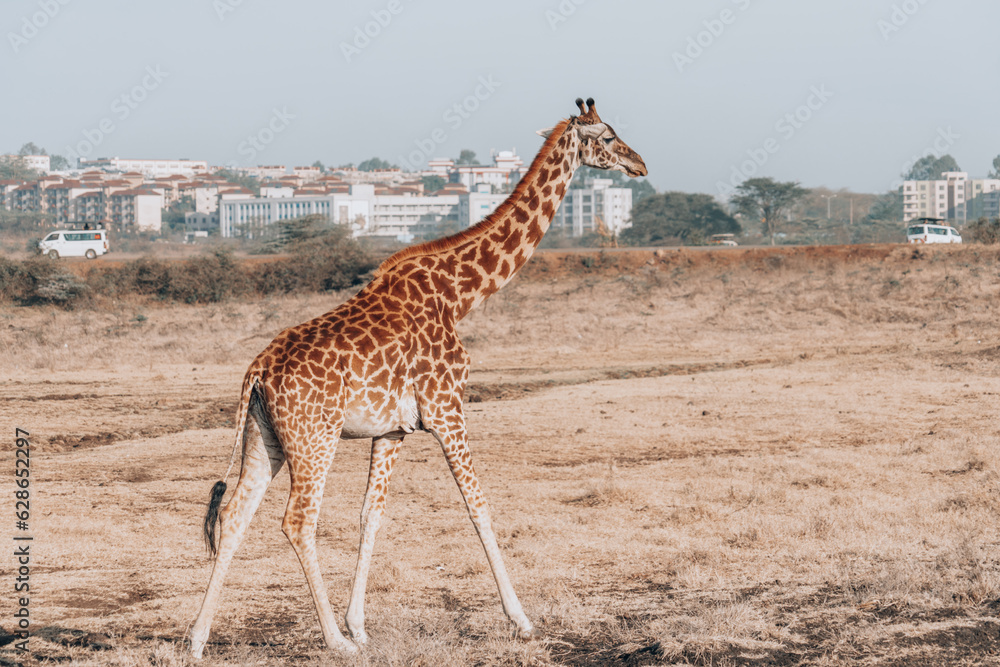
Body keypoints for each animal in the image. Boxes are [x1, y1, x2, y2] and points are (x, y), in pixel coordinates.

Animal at [188, 97, 647, 658]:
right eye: (608, 136)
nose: (640, 165)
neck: (460, 295)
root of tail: (256, 371)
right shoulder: (448, 408)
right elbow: (479, 506)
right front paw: (520, 620)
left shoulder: (393, 429)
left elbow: (372, 515)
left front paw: (360, 624)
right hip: (314, 437)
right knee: (297, 521)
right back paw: (333, 642)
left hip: (265, 437)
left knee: (233, 515)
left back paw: (197, 640)